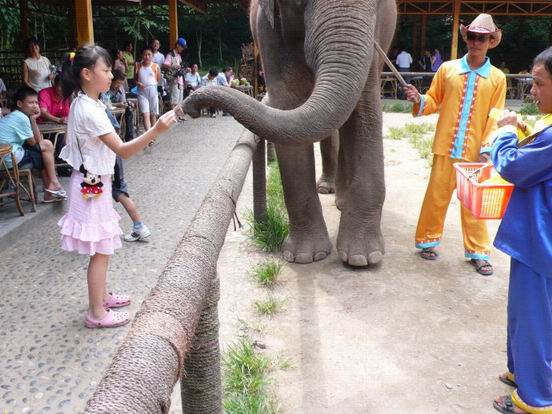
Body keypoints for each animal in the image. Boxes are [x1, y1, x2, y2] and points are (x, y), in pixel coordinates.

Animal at [181, 0, 396, 266]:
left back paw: (340, 201)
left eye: (380, 3)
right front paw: (305, 256)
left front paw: (363, 258)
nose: (190, 107)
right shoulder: (268, 31)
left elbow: (365, 109)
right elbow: (287, 103)